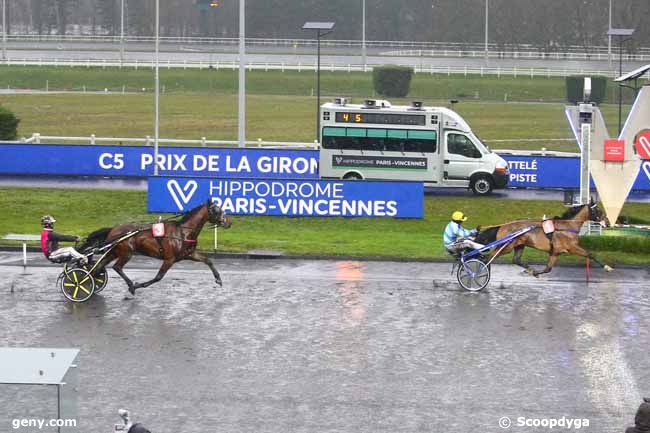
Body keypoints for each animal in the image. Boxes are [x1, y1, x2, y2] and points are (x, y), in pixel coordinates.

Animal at [79, 200, 230, 296]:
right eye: (217, 210)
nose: (228, 222)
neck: (182, 232)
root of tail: (114, 229)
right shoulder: (169, 259)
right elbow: (158, 277)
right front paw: (138, 285)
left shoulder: (188, 254)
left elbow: (207, 260)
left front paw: (218, 279)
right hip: (126, 252)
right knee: (117, 267)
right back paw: (130, 285)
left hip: (114, 252)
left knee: (98, 268)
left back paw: (85, 283)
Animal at [474, 201, 612, 276]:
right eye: (598, 210)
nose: (607, 222)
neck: (567, 226)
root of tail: (502, 226)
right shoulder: (571, 247)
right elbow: (590, 254)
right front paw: (607, 267)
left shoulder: (556, 252)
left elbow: (548, 269)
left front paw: (535, 273)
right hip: (506, 246)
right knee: (489, 257)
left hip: (519, 245)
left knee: (516, 260)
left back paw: (529, 269)